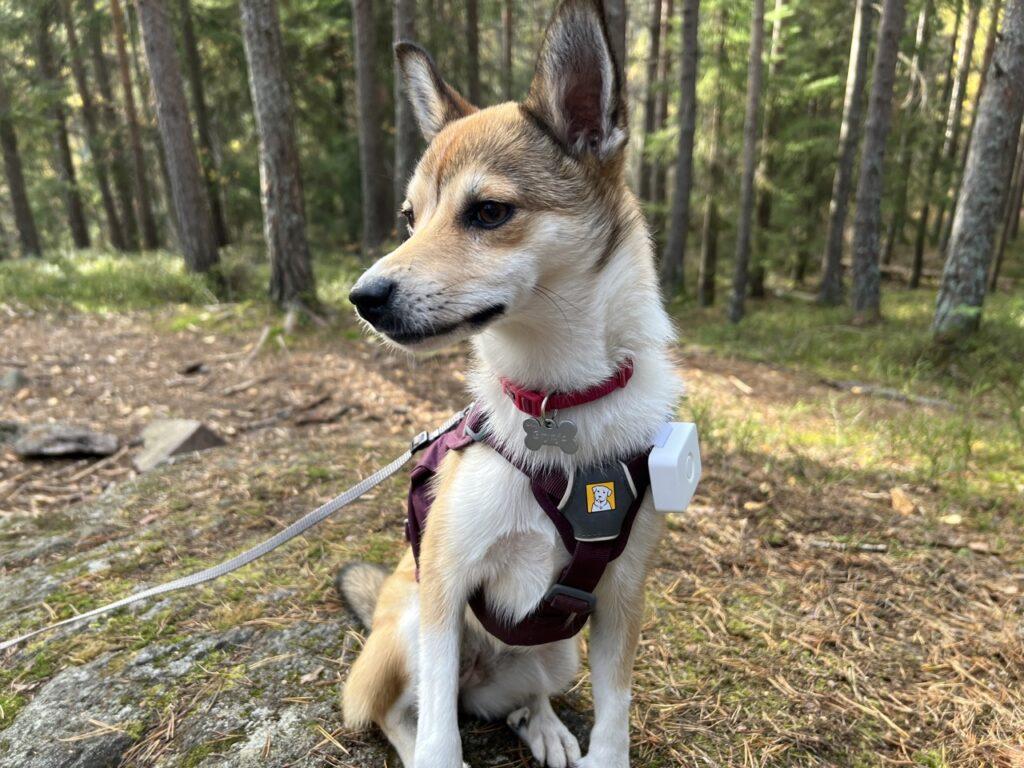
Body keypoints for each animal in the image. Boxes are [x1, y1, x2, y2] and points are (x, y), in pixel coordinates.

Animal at [335, 3, 684, 765]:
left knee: (521, 695)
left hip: (557, 653)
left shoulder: (621, 598)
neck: (558, 399)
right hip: (408, 627)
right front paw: (437, 751)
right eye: (410, 218)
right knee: (401, 712)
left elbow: (615, 716)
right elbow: (438, 731)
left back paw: (544, 725)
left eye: (488, 212)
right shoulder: (443, 583)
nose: (362, 298)